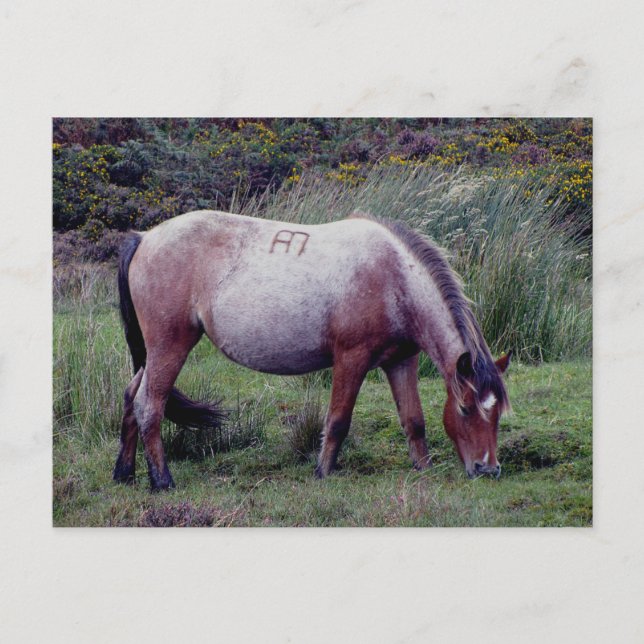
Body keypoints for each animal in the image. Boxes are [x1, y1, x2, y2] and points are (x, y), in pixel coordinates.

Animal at [112, 210, 511, 491]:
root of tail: (145, 238)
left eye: (497, 414)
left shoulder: (401, 361)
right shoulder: (351, 359)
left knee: (131, 396)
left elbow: (414, 421)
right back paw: (162, 481)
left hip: (154, 352)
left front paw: (423, 469)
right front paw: (322, 472)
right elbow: (337, 421)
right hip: (170, 346)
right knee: (149, 405)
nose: (488, 469)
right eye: (465, 408)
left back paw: (124, 474)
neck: (394, 277)